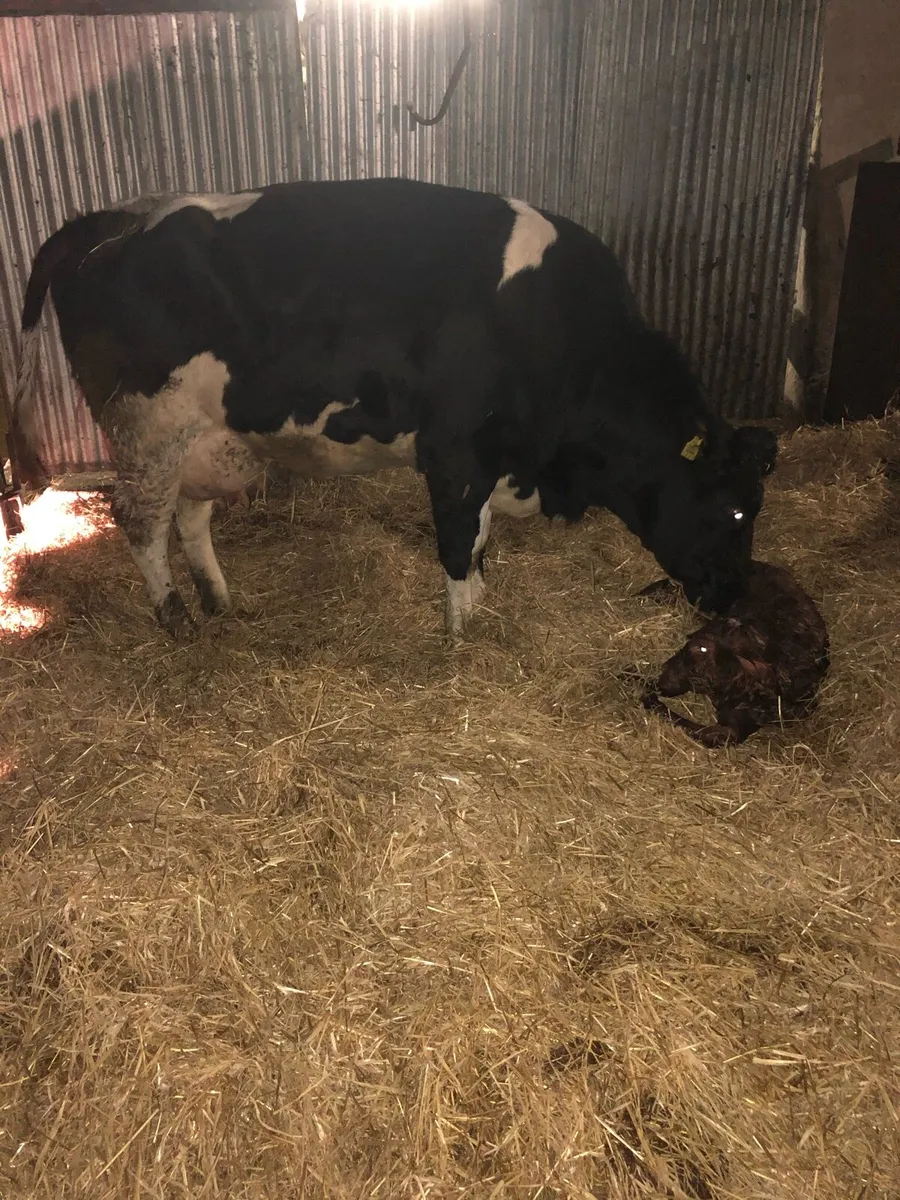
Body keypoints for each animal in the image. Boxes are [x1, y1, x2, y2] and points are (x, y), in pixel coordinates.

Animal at [9, 177, 777, 639]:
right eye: (737, 512)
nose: (737, 595)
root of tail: (111, 218)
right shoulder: (455, 453)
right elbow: (459, 544)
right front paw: (462, 638)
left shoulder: (490, 459)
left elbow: (481, 540)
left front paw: (479, 612)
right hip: (148, 426)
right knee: (139, 518)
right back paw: (174, 618)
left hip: (210, 436)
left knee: (189, 518)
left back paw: (218, 599)